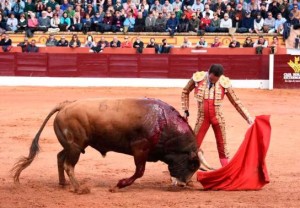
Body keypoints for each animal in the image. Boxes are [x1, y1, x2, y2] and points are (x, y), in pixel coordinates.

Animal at [12, 98, 199, 193]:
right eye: (192, 165)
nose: (183, 184)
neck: (164, 123)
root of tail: (65, 105)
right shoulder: (140, 149)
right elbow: (139, 171)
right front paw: (118, 185)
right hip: (75, 147)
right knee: (68, 165)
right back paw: (79, 189)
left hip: (72, 146)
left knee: (60, 157)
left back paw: (63, 183)